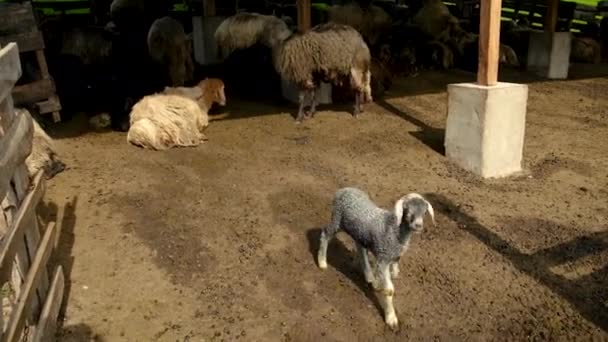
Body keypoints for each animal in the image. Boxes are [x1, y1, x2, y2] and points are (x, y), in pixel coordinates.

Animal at [316, 188, 434, 330]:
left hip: (359, 232)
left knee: (360, 248)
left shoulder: (390, 258)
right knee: (325, 233)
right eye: (407, 210)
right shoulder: (383, 258)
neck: (394, 230)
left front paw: (379, 283)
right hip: (337, 219)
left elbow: (392, 274)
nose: (418, 225)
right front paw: (391, 318)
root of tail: (345, 189)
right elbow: (389, 290)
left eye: (424, 212)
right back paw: (322, 262)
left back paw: (369, 275)